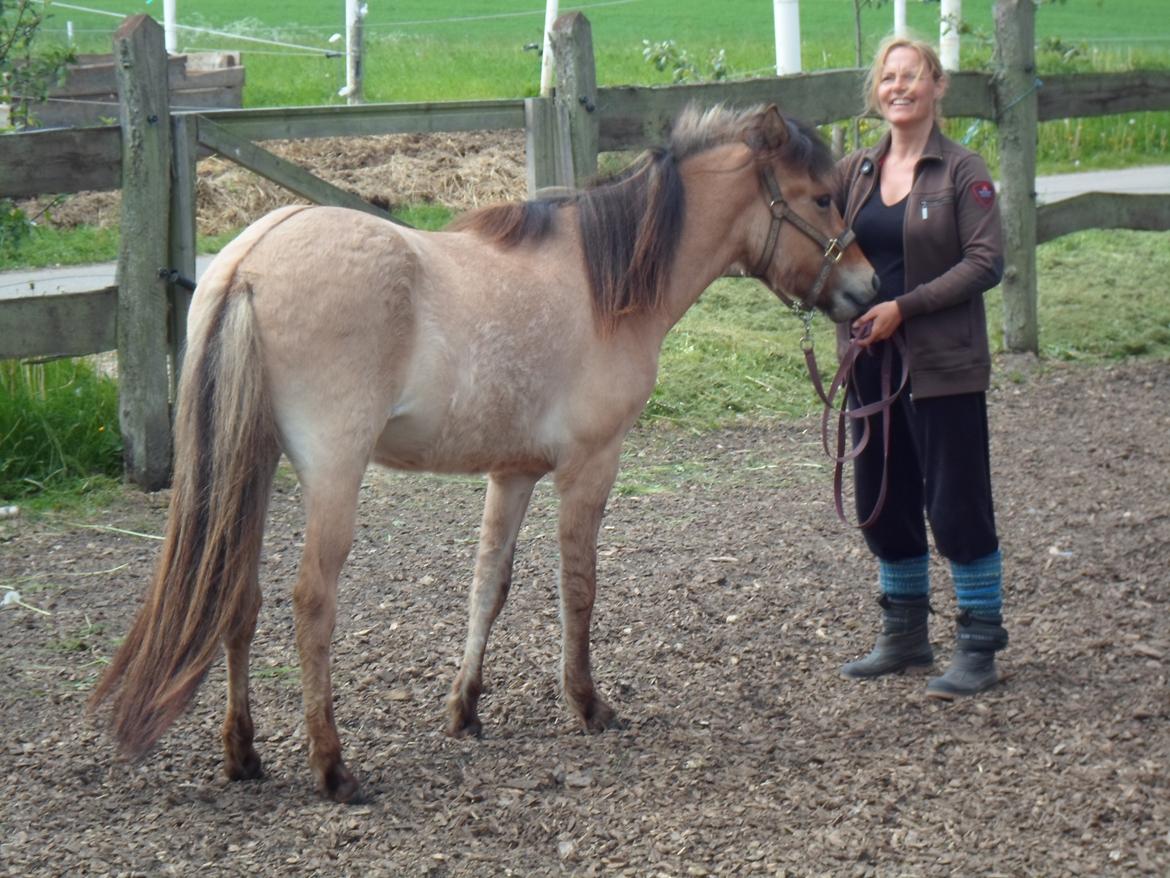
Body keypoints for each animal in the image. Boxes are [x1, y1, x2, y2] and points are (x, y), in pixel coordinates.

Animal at [91, 104, 879, 805]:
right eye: (820, 197)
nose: (868, 286)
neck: (603, 282)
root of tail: (248, 263)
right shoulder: (590, 466)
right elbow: (578, 587)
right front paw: (586, 704)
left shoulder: (514, 472)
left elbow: (487, 587)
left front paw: (465, 708)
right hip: (333, 476)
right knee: (311, 601)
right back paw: (333, 768)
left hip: (251, 470)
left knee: (240, 598)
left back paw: (243, 753)